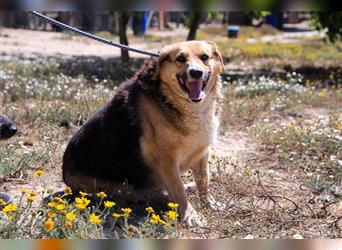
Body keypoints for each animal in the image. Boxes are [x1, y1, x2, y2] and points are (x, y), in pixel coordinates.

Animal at [63, 40, 224, 225]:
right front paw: (190, 214)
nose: (196, 73)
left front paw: (208, 203)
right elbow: (179, 190)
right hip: (111, 187)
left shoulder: (202, 153)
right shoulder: (167, 160)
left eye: (204, 57)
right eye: (180, 59)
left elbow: (204, 181)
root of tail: (65, 177)